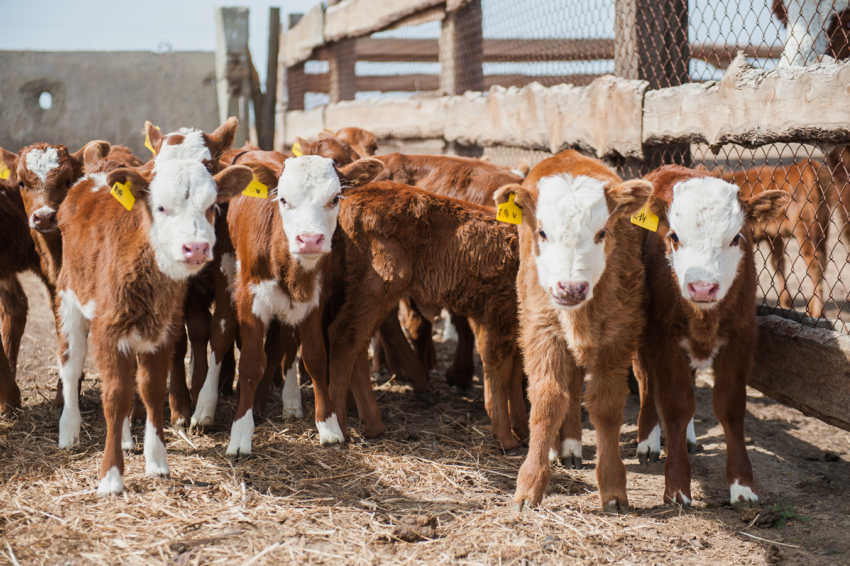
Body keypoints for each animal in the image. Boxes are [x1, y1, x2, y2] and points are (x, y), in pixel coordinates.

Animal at [326, 182, 528, 452]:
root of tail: (353, 196)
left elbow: (516, 372)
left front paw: (522, 430)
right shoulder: (497, 313)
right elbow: (500, 369)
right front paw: (506, 438)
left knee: (358, 343)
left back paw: (373, 425)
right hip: (382, 284)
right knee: (345, 337)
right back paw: (337, 428)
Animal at [632, 164, 792, 510]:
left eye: (736, 238)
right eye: (674, 237)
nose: (703, 288)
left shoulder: (741, 337)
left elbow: (729, 406)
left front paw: (742, 487)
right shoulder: (662, 336)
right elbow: (675, 404)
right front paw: (677, 487)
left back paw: (689, 438)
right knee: (646, 380)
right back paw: (648, 441)